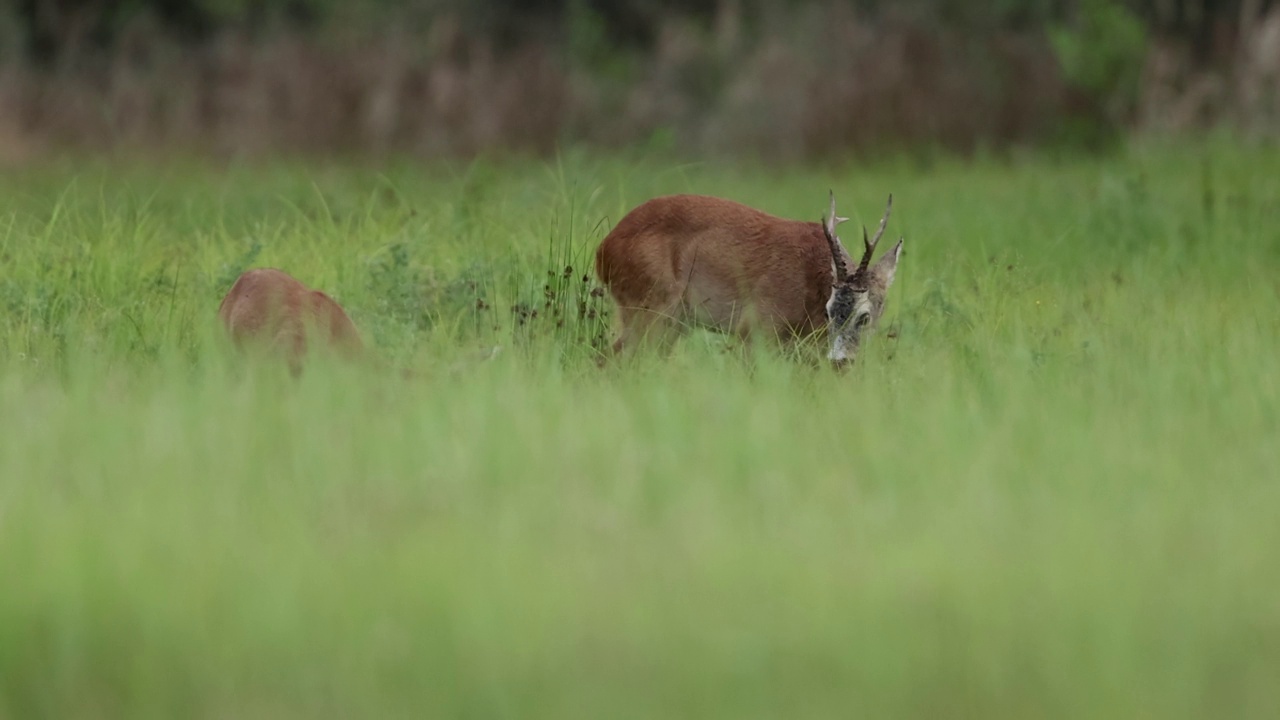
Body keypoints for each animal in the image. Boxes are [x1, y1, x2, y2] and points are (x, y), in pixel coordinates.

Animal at [591, 190, 901, 366]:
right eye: (829, 312)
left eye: (865, 316)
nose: (840, 361)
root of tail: (603, 249)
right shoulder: (754, 328)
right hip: (651, 305)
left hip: (670, 322)